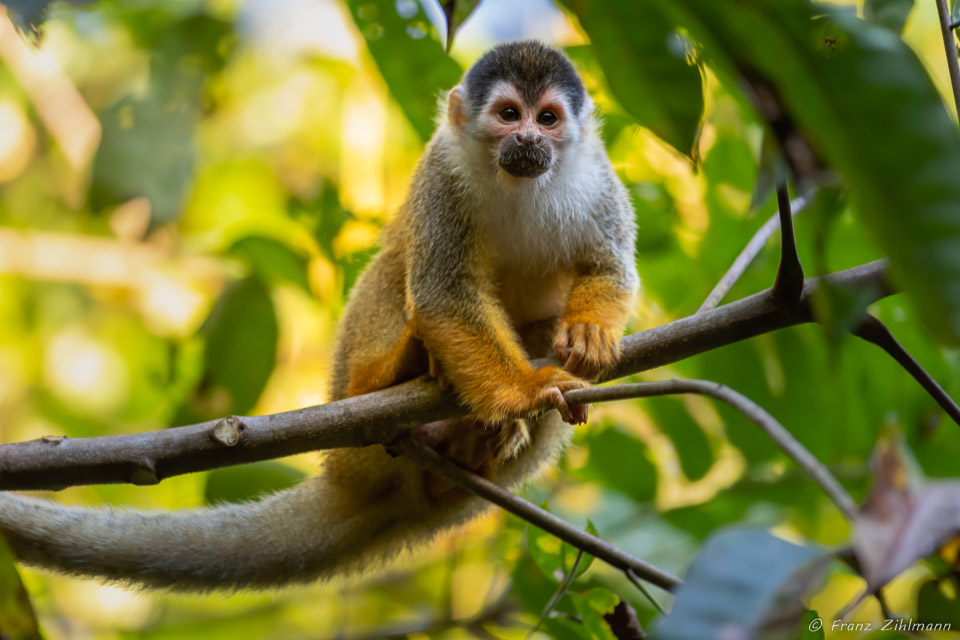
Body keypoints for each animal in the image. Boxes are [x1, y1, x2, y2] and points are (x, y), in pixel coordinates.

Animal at [0, 40, 636, 592]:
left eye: (547, 118)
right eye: (509, 114)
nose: (528, 138)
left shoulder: (596, 175)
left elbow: (609, 269)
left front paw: (589, 332)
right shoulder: (444, 172)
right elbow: (443, 295)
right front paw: (524, 390)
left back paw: (476, 442)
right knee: (394, 267)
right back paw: (392, 376)